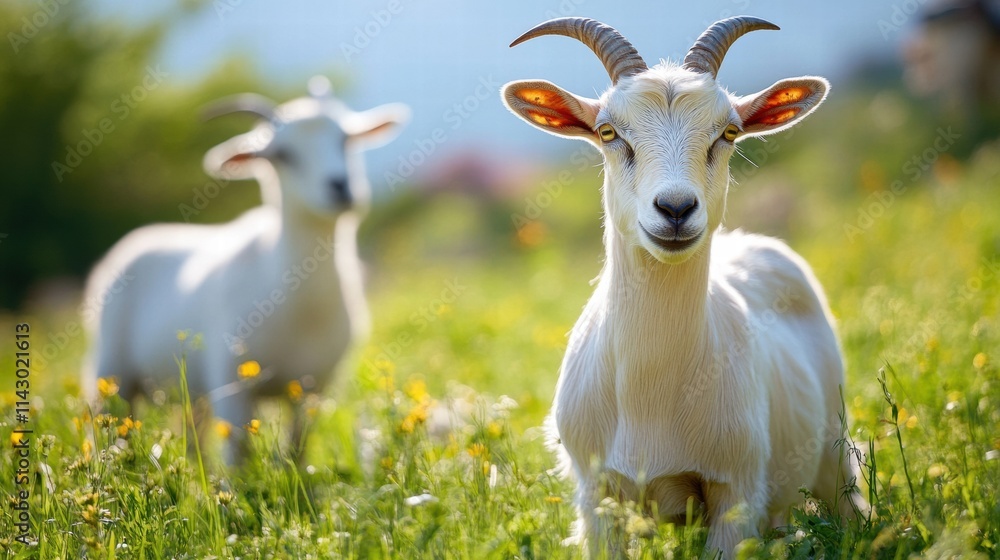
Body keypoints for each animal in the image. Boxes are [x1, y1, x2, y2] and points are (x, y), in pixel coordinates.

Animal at [83, 77, 409, 461]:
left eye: (345, 139)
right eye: (283, 155)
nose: (341, 187)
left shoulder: (314, 388)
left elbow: (297, 452)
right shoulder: (230, 384)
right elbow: (238, 455)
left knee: (193, 432)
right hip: (111, 371)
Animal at [502, 17, 868, 558]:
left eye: (729, 132)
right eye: (608, 131)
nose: (675, 208)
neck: (651, 393)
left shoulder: (735, 494)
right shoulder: (596, 495)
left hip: (833, 454)